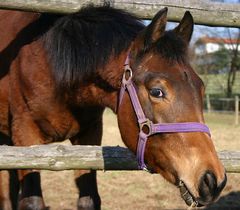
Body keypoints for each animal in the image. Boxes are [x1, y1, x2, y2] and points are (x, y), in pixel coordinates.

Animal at [0, 4, 226, 210]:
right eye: (157, 91)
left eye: (201, 88)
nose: (213, 180)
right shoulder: (25, 136)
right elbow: (31, 202)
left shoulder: (88, 136)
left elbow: (88, 199)